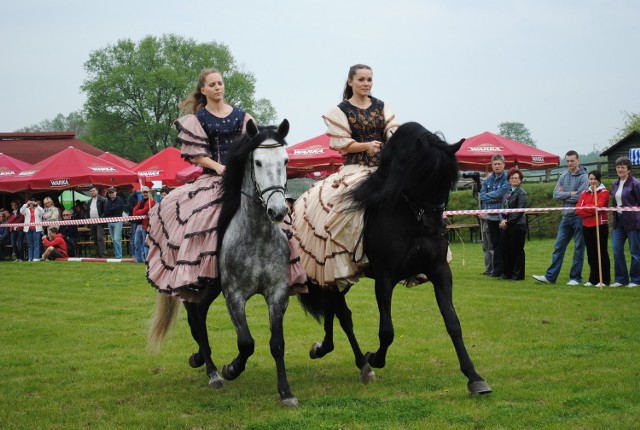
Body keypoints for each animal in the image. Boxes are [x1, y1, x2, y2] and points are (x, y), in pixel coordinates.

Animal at [298, 120, 490, 394]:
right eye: (422, 177)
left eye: (448, 183)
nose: (436, 226)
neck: (410, 218)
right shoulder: (384, 278)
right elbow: (387, 331)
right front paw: (375, 358)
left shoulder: (440, 270)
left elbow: (453, 322)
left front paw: (473, 376)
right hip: (330, 271)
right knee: (342, 314)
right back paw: (362, 365)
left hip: (338, 276)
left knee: (334, 309)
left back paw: (325, 349)